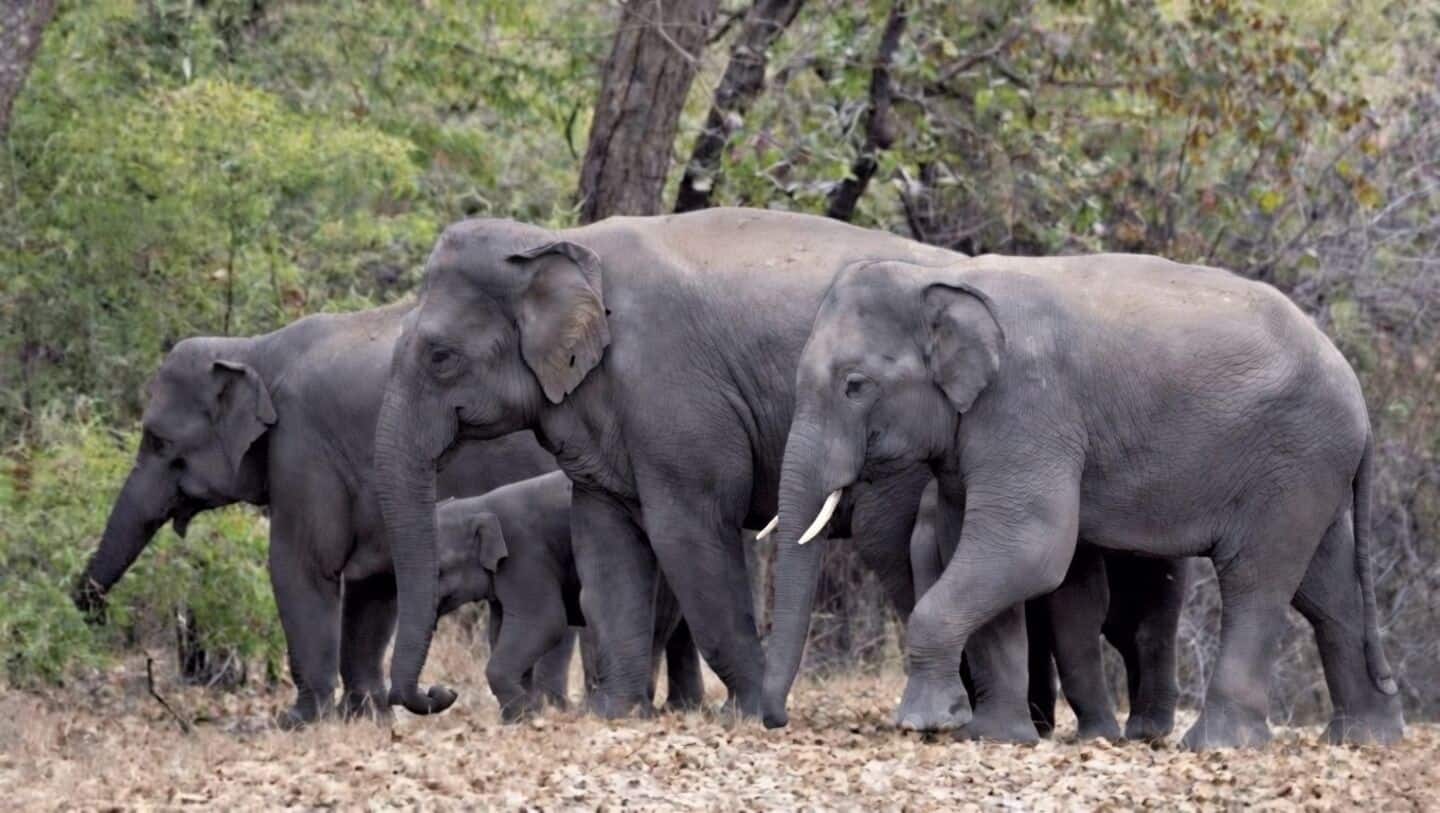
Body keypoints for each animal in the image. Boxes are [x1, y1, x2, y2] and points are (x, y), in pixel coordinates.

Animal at [72, 302, 575, 726]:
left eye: (159, 441)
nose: (94, 611)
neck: (251, 349)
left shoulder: (302, 444)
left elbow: (302, 565)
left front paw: (298, 722)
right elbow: (374, 582)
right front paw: (366, 717)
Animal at [435, 470, 703, 720]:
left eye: (440, 569)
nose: (449, 691)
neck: (479, 504)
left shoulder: (525, 557)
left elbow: (543, 623)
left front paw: (525, 715)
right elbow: (500, 629)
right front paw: (526, 715)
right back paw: (680, 709)